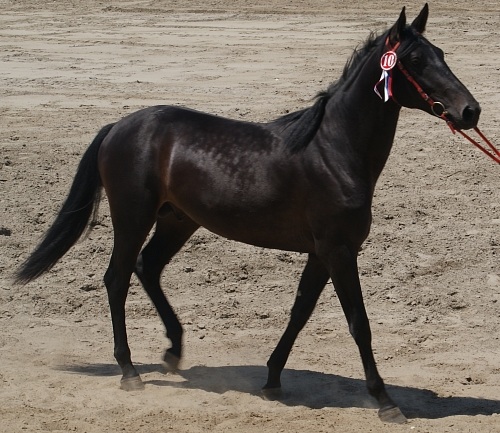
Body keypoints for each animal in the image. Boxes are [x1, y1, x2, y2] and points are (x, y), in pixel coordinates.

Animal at [15, 4, 480, 423]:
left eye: (441, 52)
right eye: (415, 61)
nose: (470, 111)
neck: (332, 150)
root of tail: (117, 126)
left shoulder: (321, 253)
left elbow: (299, 313)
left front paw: (272, 379)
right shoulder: (339, 251)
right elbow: (358, 323)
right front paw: (385, 401)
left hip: (177, 220)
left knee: (148, 268)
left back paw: (173, 351)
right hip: (133, 217)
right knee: (117, 278)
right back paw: (130, 372)